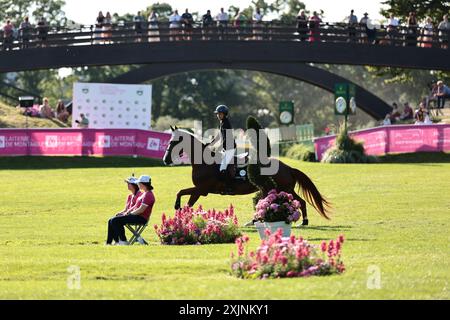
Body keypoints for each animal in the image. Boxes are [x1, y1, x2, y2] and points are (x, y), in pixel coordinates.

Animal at [163, 126, 330, 224]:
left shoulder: (200, 189)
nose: (165, 160)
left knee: (298, 202)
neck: (203, 161)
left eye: (173, 142)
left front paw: (177, 210)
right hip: (280, 189)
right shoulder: (200, 190)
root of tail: (288, 167)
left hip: (282, 189)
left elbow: (183, 196)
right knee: (295, 201)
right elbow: (185, 200)